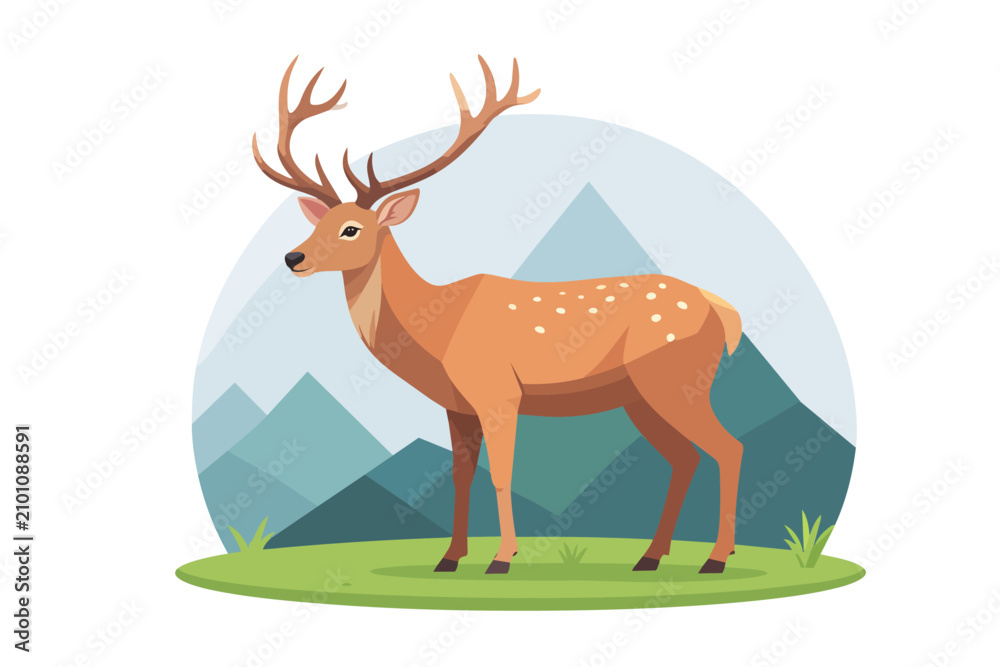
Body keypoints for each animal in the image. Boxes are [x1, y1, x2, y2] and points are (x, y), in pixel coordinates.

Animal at [253, 56, 745, 575]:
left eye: (352, 228)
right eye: (320, 222)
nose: (292, 257)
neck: (437, 332)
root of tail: (723, 311)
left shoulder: (498, 391)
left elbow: (503, 475)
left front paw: (502, 559)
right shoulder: (456, 405)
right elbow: (461, 475)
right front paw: (449, 559)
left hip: (675, 378)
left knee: (727, 448)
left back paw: (715, 559)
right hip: (640, 395)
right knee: (685, 458)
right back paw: (651, 557)